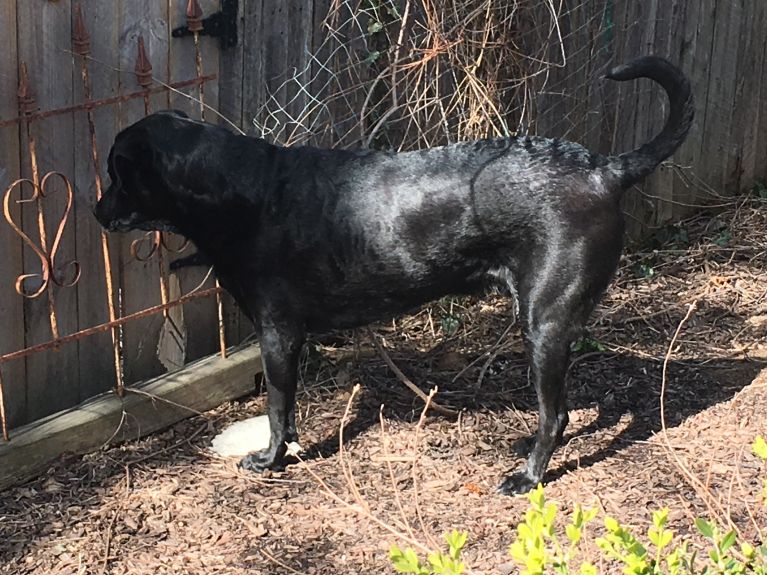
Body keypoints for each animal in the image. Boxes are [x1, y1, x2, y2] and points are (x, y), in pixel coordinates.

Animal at [96, 58, 696, 496]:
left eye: (117, 173)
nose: (98, 212)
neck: (243, 192)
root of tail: (604, 169)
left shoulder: (278, 334)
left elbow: (276, 407)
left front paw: (270, 460)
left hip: (544, 323)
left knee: (557, 415)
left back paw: (526, 476)